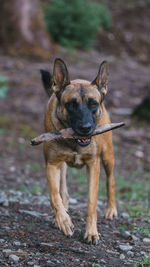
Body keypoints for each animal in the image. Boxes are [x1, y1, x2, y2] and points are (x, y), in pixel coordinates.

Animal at [40, 59, 117, 246]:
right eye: (71, 105)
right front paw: (63, 221)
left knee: (110, 180)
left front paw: (91, 233)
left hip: (107, 156)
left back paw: (111, 209)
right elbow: (54, 195)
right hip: (62, 165)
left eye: (93, 103)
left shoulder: (93, 165)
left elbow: (91, 203)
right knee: (63, 191)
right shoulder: (52, 164)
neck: (74, 141)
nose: (86, 128)